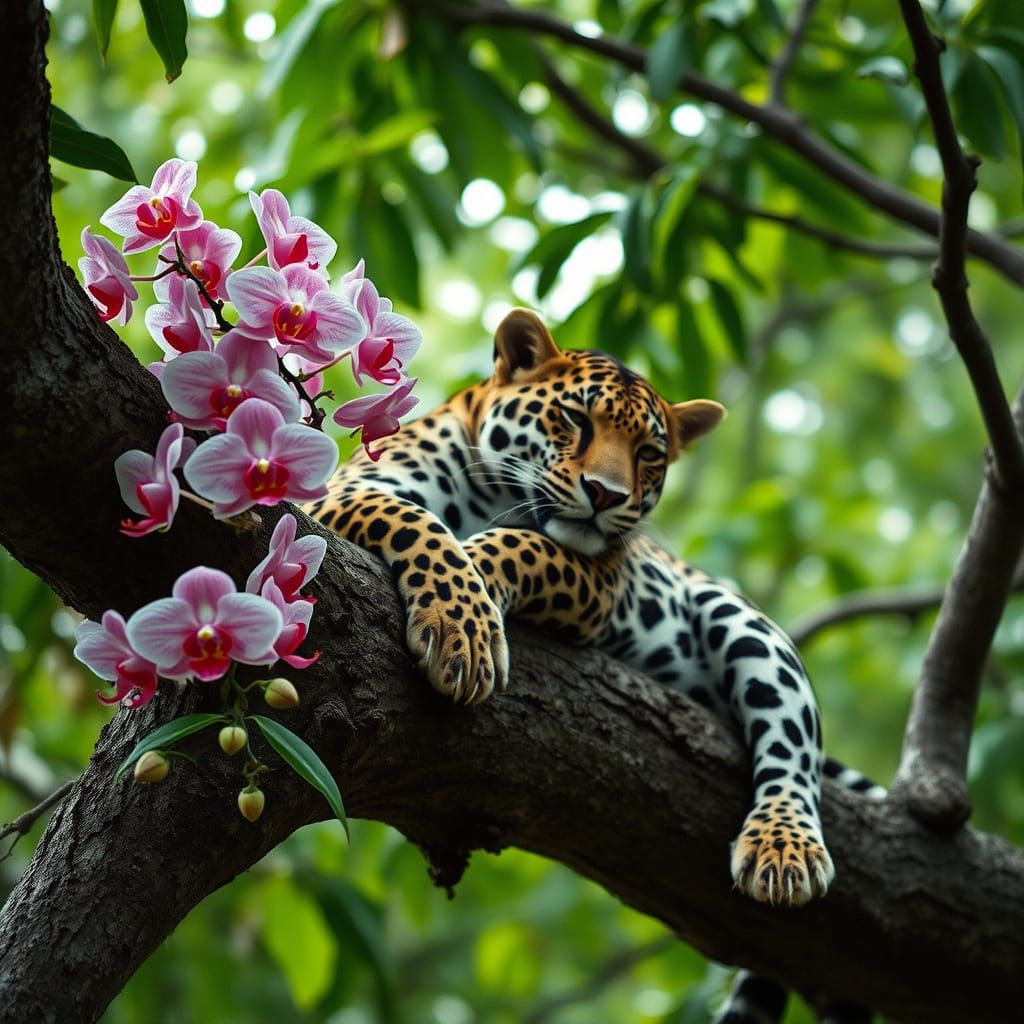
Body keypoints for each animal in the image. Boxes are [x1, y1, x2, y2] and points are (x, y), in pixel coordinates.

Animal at [308, 308, 883, 1022]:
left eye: (650, 455)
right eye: (576, 419)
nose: (606, 494)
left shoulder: (607, 577)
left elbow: (525, 545)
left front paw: (479, 587)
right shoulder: (346, 493)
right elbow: (417, 521)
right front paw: (463, 624)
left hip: (743, 624)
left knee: (794, 746)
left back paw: (784, 847)